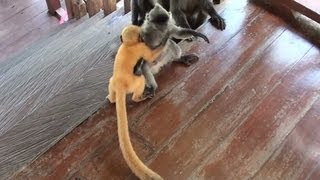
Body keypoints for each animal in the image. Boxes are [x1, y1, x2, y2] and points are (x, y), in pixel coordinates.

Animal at [107, 24, 164, 179]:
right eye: (141, 36)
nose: (143, 37)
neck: (128, 45)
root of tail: (120, 85)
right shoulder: (141, 47)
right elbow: (150, 56)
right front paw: (164, 41)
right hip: (134, 83)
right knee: (141, 80)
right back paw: (139, 98)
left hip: (112, 83)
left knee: (110, 84)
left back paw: (111, 99)